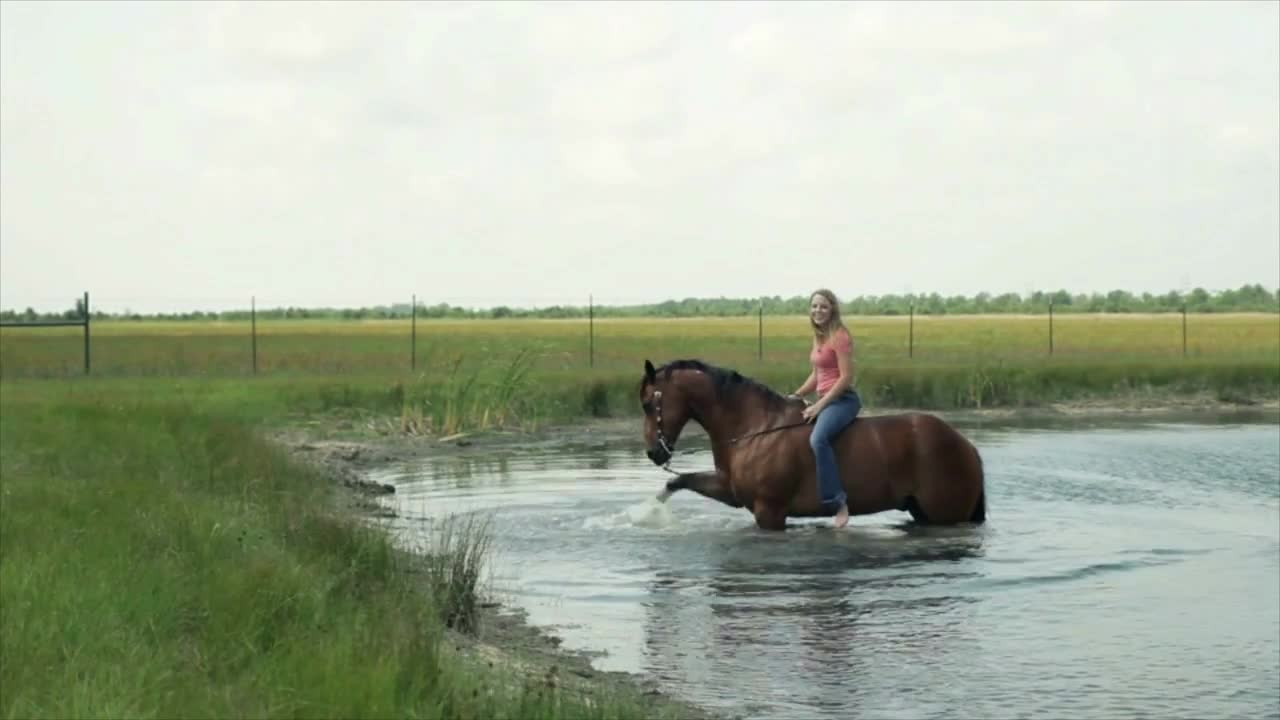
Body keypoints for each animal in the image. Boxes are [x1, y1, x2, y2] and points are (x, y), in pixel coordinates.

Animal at [640, 356, 988, 530]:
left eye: (647, 403)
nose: (653, 452)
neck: (757, 427)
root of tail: (966, 446)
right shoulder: (731, 491)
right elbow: (679, 482)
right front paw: (648, 511)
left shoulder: (769, 512)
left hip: (944, 515)